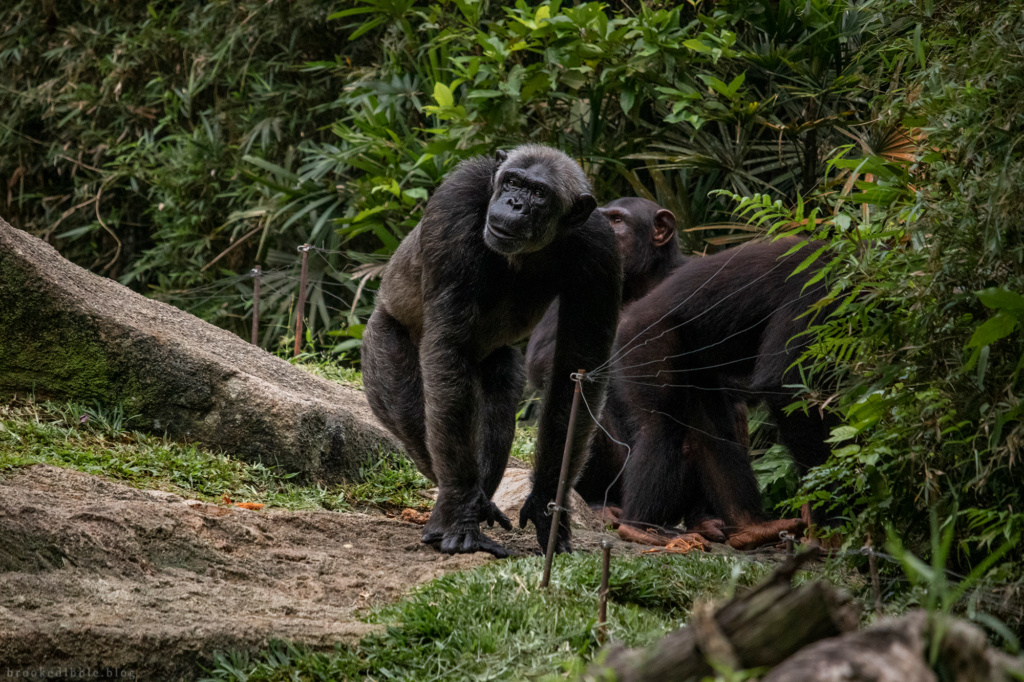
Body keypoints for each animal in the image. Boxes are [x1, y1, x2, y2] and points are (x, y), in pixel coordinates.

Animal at [364, 144, 618, 557]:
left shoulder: (601, 251)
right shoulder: (454, 206)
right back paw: (455, 511)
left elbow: (578, 367)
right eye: (513, 182)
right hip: (382, 342)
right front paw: (464, 517)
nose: (514, 203)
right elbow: (450, 346)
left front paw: (548, 507)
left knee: (497, 412)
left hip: (500, 362)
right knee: (414, 414)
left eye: (539, 193)